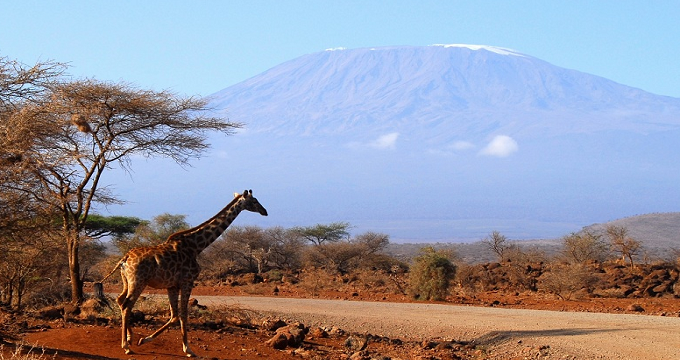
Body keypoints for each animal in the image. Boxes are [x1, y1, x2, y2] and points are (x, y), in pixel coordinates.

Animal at [98, 190, 268, 356]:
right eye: (254, 201)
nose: (264, 211)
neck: (196, 246)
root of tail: (124, 259)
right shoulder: (188, 281)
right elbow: (184, 314)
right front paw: (188, 349)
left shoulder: (172, 285)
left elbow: (174, 316)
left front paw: (144, 340)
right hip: (138, 282)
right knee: (127, 305)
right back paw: (126, 346)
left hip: (126, 281)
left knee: (120, 300)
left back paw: (130, 337)